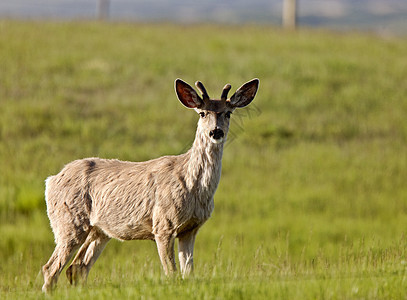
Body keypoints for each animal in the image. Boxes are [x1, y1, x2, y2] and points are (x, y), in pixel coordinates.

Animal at [40, 78, 258, 292]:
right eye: (202, 113)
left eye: (228, 112)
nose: (215, 132)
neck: (194, 188)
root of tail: (50, 180)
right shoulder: (163, 223)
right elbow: (172, 273)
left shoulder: (191, 228)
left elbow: (189, 273)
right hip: (69, 221)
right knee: (51, 268)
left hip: (99, 230)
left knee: (77, 267)